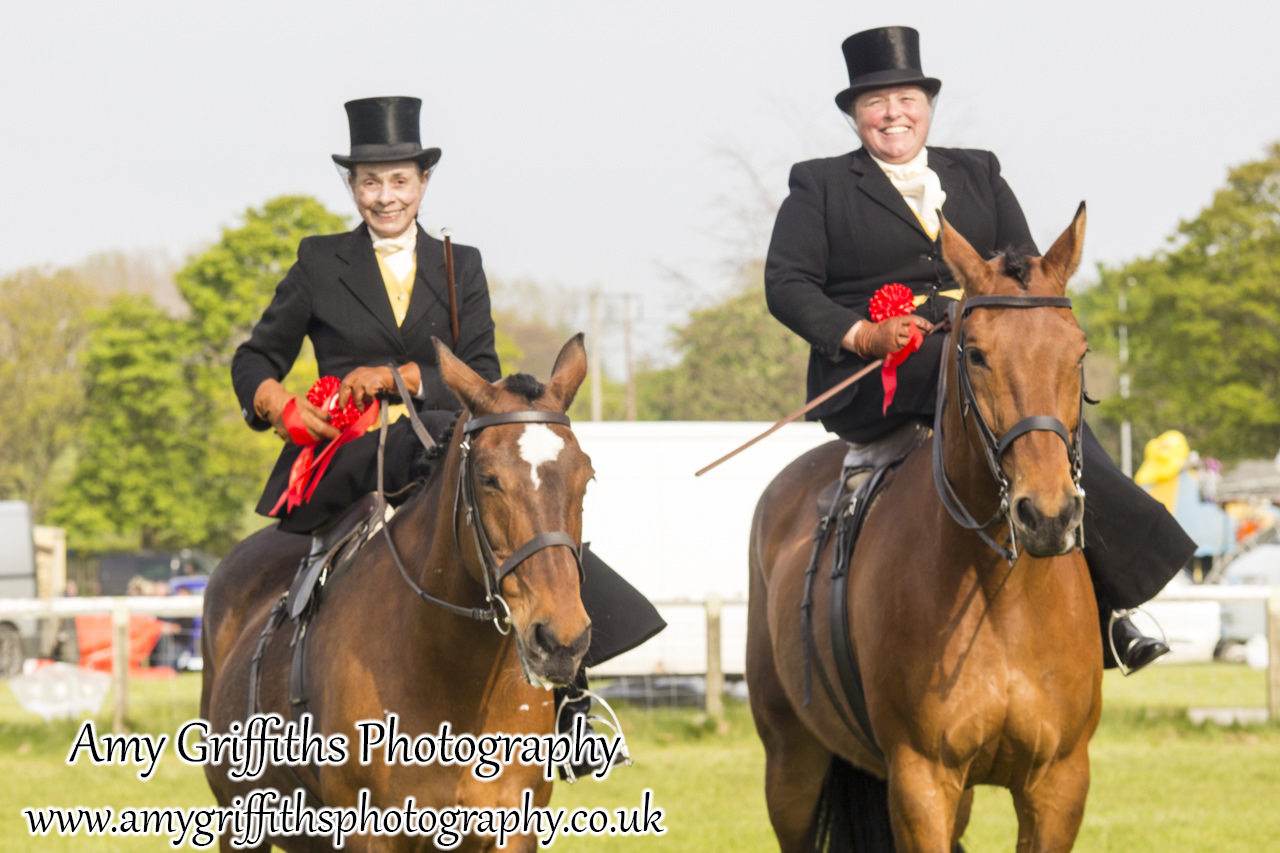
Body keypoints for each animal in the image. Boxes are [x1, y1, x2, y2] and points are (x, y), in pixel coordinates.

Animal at [747, 207, 1105, 850]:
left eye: (1079, 352)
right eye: (977, 354)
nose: (1048, 516)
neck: (1003, 598)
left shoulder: (1059, 783)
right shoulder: (921, 781)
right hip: (791, 766)